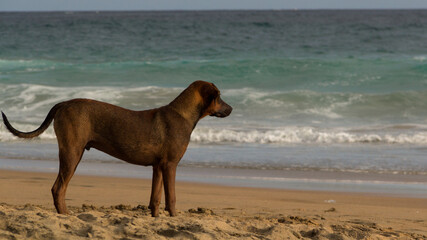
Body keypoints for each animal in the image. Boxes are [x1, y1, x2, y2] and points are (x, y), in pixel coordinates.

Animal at [1, 81, 232, 218]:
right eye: (219, 96)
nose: (231, 108)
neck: (183, 114)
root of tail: (64, 103)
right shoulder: (170, 165)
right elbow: (172, 198)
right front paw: (174, 218)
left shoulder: (158, 167)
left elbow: (155, 198)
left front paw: (155, 217)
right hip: (72, 153)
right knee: (58, 188)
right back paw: (65, 214)